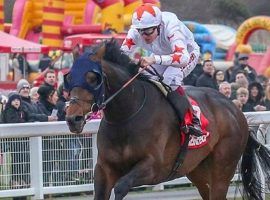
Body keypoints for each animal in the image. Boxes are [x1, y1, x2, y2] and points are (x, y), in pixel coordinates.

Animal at [65, 39, 270, 200]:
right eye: (69, 76)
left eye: (93, 78)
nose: (73, 118)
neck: (126, 116)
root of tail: (236, 111)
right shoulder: (104, 169)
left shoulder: (154, 168)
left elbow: (121, 186)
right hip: (198, 170)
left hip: (223, 166)